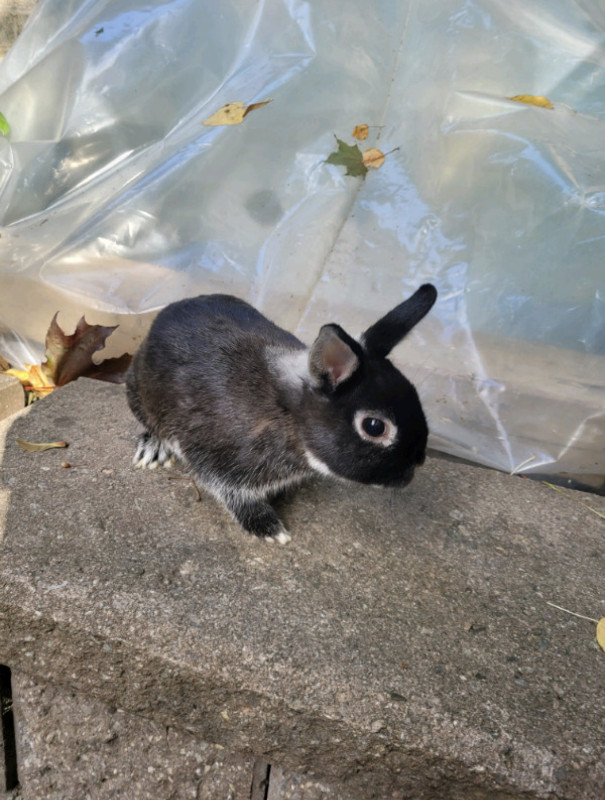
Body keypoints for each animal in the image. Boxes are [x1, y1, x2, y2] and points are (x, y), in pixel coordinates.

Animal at [126, 284, 437, 543]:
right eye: (374, 426)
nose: (418, 461)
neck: (289, 415)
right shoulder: (216, 461)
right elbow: (233, 495)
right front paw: (271, 530)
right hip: (139, 396)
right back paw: (152, 450)